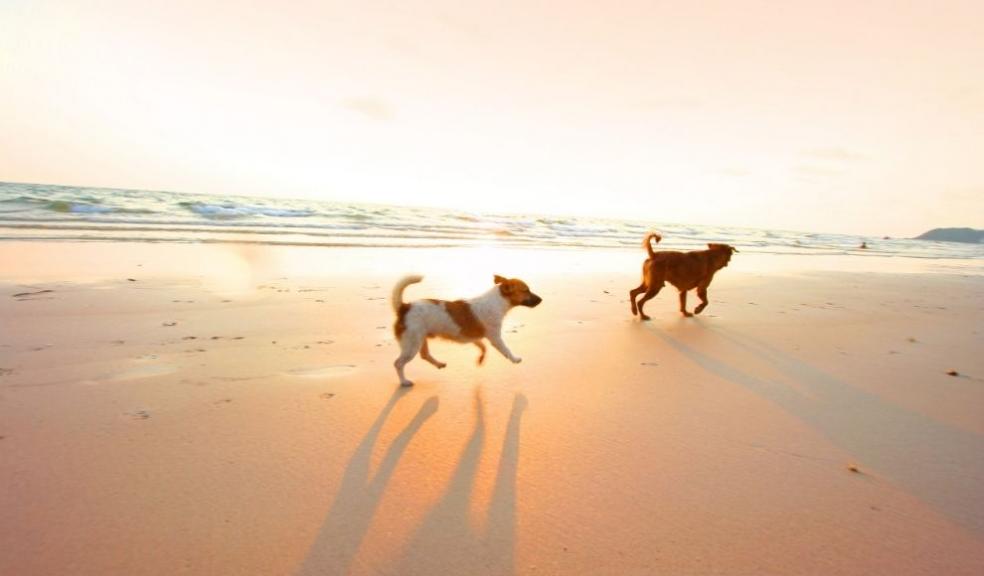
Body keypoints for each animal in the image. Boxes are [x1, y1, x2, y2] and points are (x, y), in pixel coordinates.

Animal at [392, 274, 540, 388]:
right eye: (526, 290)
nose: (541, 299)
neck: (497, 302)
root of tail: (404, 307)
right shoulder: (495, 338)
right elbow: (506, 349)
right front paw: (514, 359)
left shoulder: (474, 338)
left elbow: (483, 347)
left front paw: (480, 359)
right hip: (412, 345)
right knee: (398, 363)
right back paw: (404, 381)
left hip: (420, 339)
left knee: (425, 355)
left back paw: (439, 364)